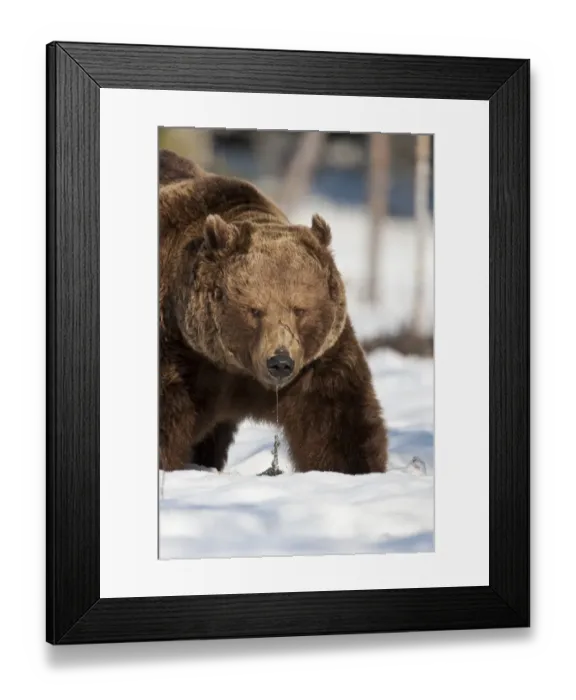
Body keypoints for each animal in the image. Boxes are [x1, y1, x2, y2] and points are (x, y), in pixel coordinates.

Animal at [158, 148, 388, 475]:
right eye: (255, 309)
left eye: (300, 309)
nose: (279, 362)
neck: (235, 368)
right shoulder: (179, 348)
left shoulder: (315, 362)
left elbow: (336, 420)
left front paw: (351, 469)